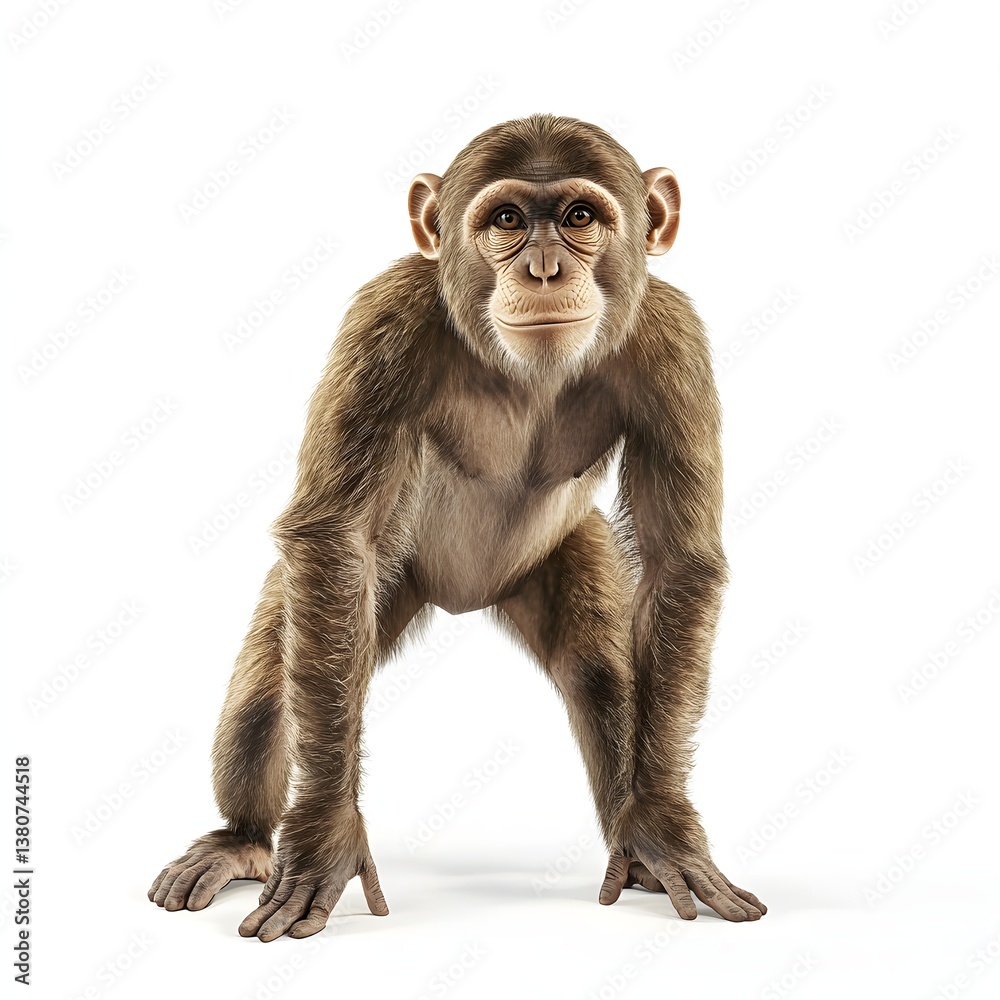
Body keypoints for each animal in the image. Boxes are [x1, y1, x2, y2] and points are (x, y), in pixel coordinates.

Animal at [148, 114, 766, 941]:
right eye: (506, 220)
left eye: (579, 215)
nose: (543, 269)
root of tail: (463, 599)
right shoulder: (385, 321)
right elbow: (335, 534)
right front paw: (322, 838)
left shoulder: (674, 344)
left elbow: (676, 563)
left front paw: (663, 828)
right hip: (379, 590)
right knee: (270, 691)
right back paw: (241, 843)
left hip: (561, 560)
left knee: (599, 674)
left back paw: (630, 848)